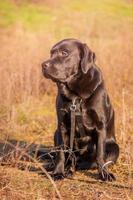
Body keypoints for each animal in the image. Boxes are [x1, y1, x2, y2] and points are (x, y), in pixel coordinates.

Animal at [41, 38, 119, 180]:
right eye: (51, 53)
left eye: (64, 53)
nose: (43, 65)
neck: (76, 96)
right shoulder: (62, 126)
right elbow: (61, 153)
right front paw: (58, 172)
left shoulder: (100, 126)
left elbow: (100, 154)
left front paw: (104, 174)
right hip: (55, 134)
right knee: (68, 157)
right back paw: (60, 167)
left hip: (114, 148)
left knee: (86, 162)